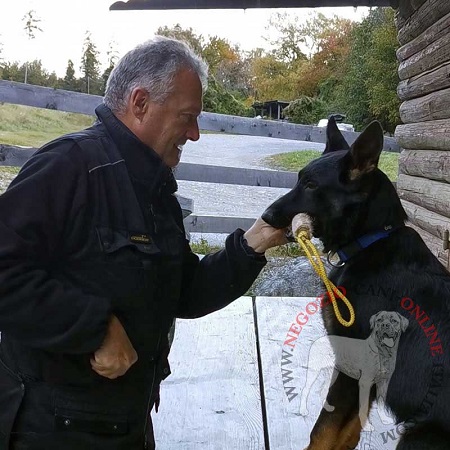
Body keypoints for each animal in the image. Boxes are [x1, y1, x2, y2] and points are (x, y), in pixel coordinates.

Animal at [262, 119, 450, 450]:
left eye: (311, 185)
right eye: (299, 180)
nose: (266, 217)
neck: (369, 241)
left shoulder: (354, 366)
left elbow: (322, 432)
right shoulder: (365, 377)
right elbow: (348, 431)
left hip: (421, 434)